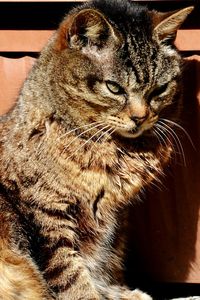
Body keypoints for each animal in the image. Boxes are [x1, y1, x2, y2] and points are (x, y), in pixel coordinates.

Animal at [0, 1, 194, 298]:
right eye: (114, 88)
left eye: (159, 90)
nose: (140, 117)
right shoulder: (46, 216)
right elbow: (71, 274)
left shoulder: (113, 220)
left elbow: (104, 265)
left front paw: (122, 292)